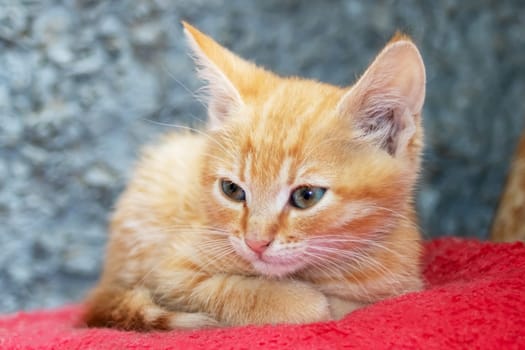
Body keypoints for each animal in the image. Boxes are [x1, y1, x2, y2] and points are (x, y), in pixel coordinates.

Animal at [83, 22, 426, 330]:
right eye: (232, 190)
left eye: (306, 196)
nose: (255, 242)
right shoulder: (173, 270)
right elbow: (234, 292)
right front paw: (301, 301)